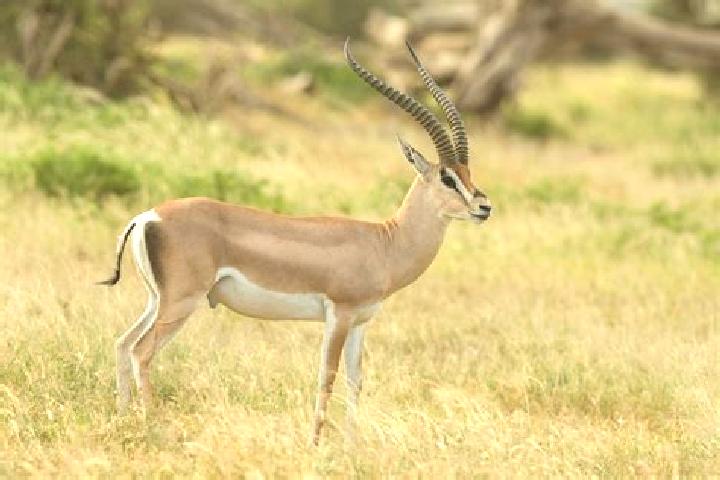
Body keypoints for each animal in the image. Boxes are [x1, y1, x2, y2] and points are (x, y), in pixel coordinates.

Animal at [100, 39, 491, 445]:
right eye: (447, 177)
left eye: (467, 173)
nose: (484, 207)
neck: (384, 243)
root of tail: (147, 216)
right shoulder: (339, 314)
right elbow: (327, 376)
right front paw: (315, 443)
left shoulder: (361, 321)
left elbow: (356, 380)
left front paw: (351, 444)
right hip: (181, 301)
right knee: (142, 351)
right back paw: (152, 427)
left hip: (157, 300)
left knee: (123, 343)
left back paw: (124, 418)